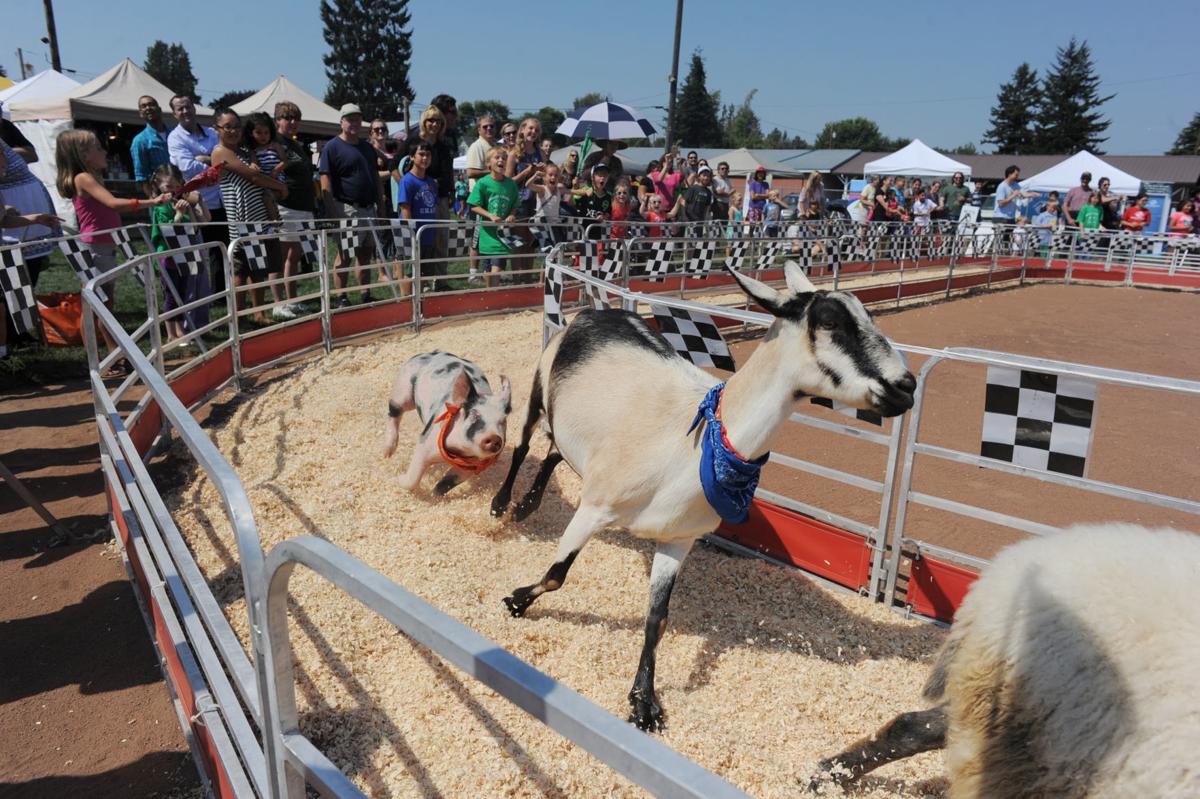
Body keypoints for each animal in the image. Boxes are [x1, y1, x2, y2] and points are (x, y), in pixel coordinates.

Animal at [487, 262, 916, 729]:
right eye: (831, 322)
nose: (906, 386)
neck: (692, 441)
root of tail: (596, 312)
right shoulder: (595, 507)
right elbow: (556, 574)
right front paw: (517, 601)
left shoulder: (678, 537)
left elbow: (657, 619)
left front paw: (644, 702)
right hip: (539, 385)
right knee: (525, 444)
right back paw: (502, 505)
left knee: (554, 451)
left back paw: (527, 505)